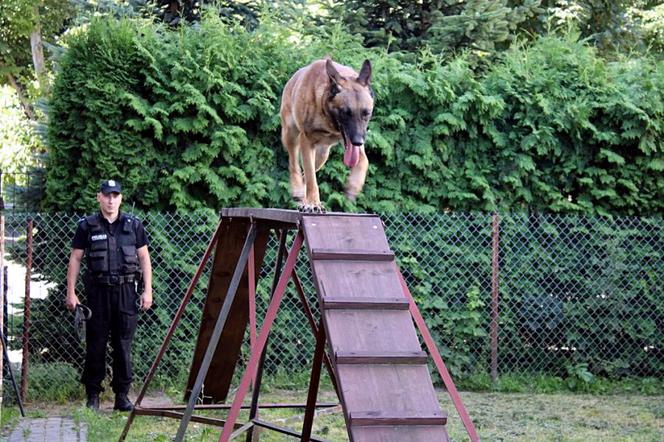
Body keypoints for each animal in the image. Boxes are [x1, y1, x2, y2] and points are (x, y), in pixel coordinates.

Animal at [280, 57, 374, 212]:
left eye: (366, 113)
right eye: (346, 113)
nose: (358, 141)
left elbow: (364, 161)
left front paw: (352, 187)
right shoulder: (306, 141)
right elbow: (312, 178)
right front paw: (313, 203)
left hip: (322, 156)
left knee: (305, 175)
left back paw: (304, 200)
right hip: (291, 135)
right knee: (294, 164)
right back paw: (299, 190)